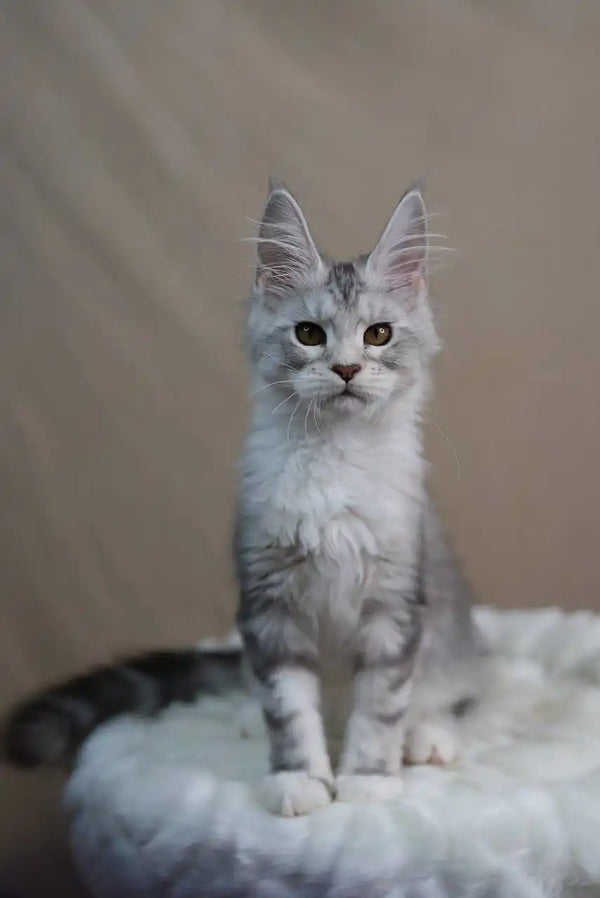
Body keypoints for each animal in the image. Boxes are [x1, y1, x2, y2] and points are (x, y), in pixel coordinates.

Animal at [234, 178, 488, 816]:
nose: (347, 368)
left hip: (452, 641)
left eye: (378, 335)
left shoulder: (396, 605)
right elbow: (288, 709)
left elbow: (379, 707)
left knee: (457, 699)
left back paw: (429, 737)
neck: (336, 458)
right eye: (309, 333)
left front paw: (368, 780)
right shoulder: (269, 604)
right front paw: (299, 779)